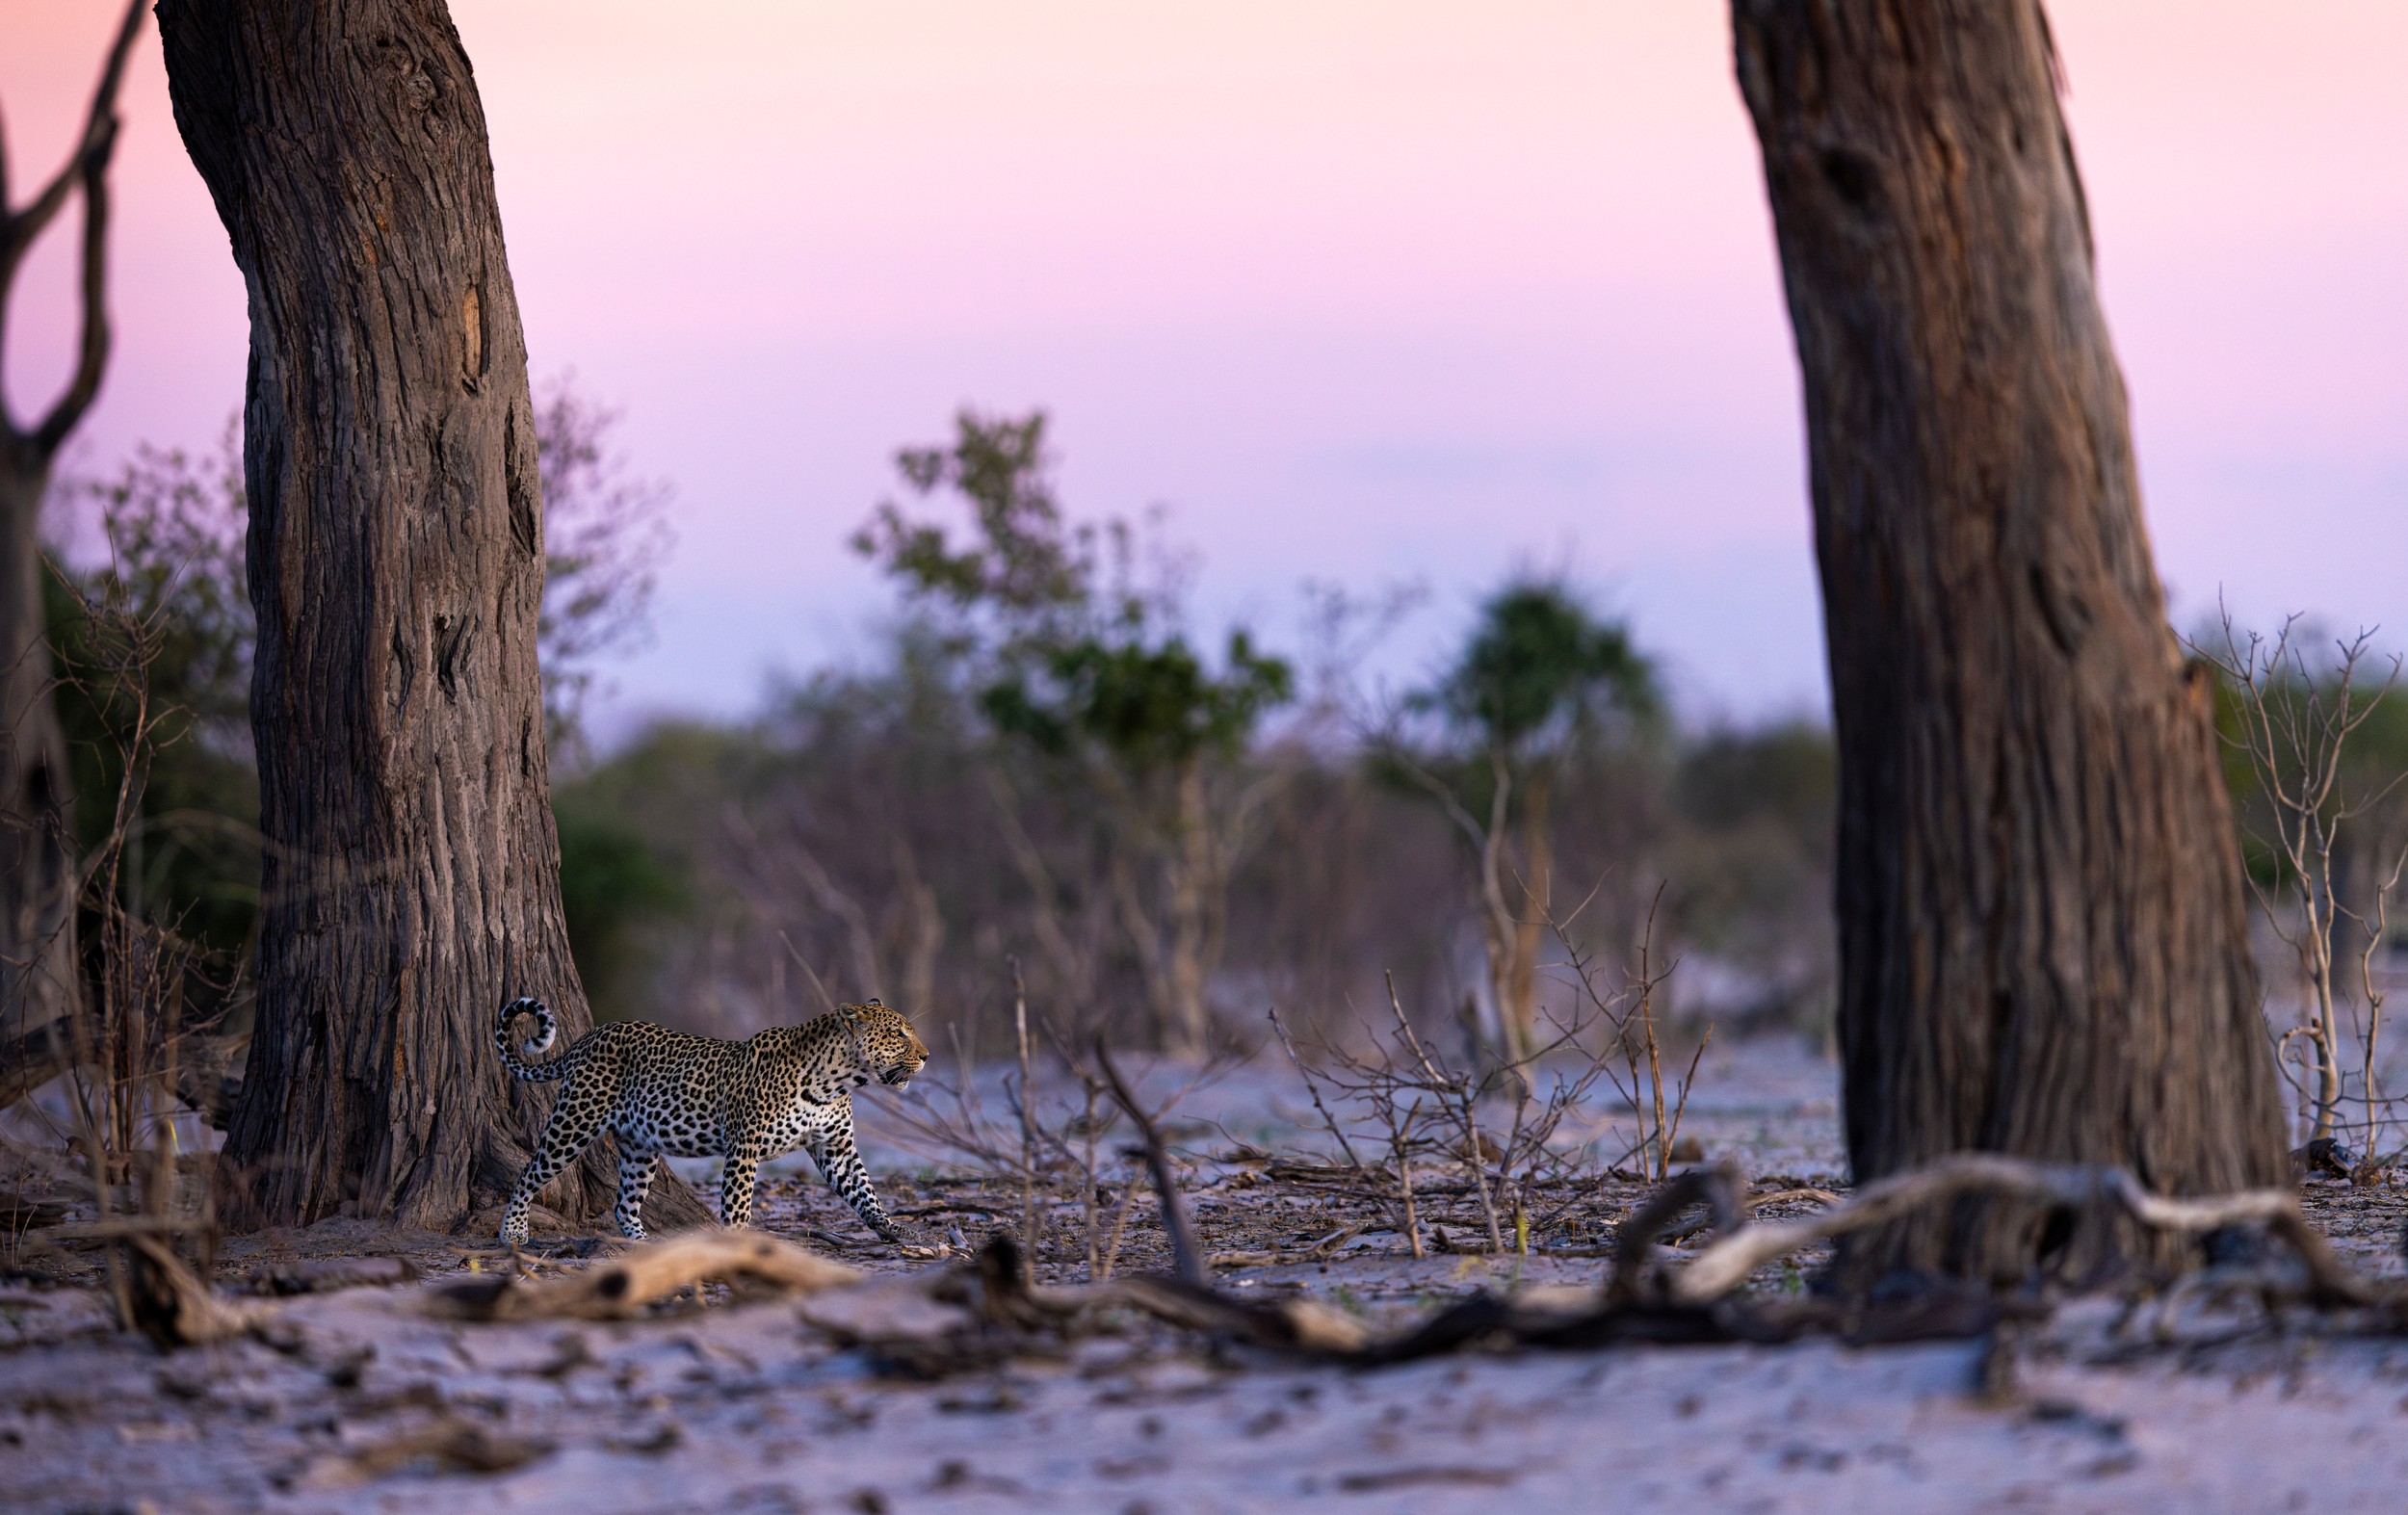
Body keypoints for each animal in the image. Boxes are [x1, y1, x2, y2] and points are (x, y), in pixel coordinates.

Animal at [492, 995, 928, 1247]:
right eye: (899, 1034)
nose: (926, 1056)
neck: (837, 1079)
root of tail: (588, 1036)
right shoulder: (745, 1147)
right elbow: (738, 1205)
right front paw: (736, 1244)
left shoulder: (835, 1147)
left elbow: (865, 1192)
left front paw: (895, 1229)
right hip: (575, 1121)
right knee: (529, 1172)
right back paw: (512, 1231)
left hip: (640, 1147)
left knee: (624, 1202)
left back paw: (645, 1245)